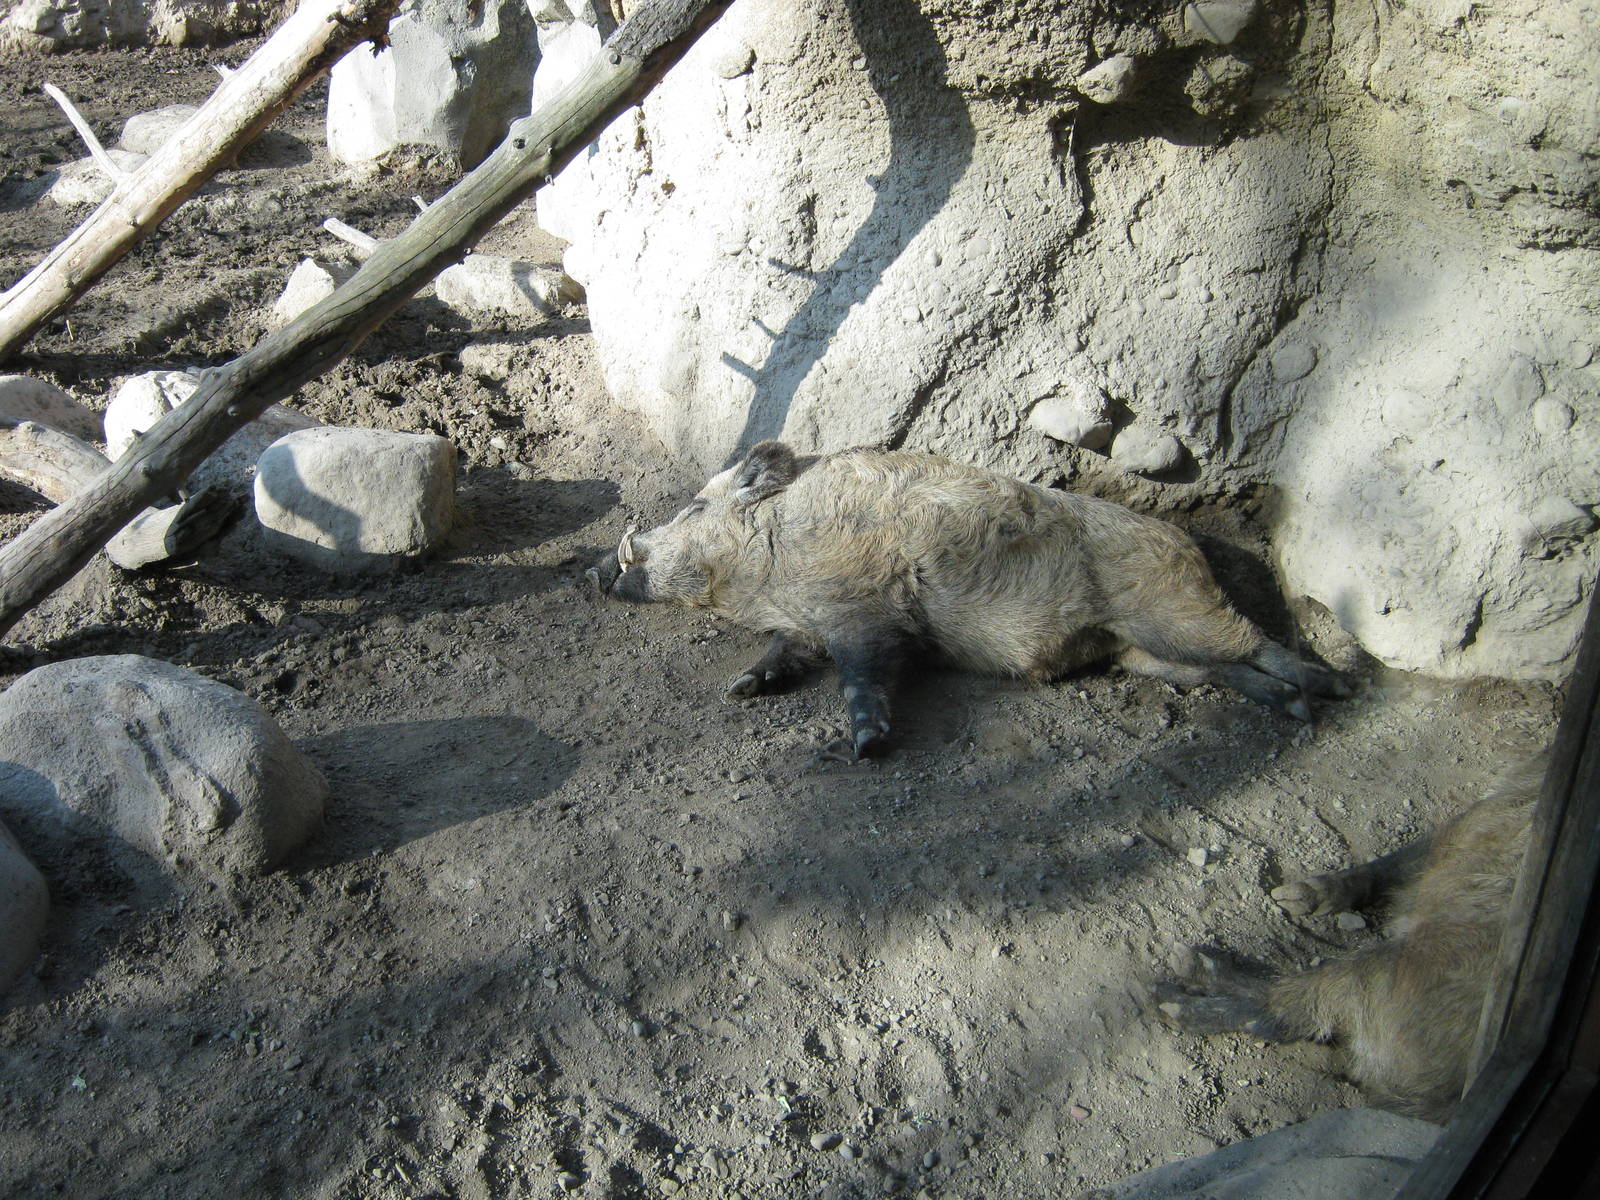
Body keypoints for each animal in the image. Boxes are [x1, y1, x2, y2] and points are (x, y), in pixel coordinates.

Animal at [588, 442, 1347, 756]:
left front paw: (867, 746)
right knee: (1223, 671)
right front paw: (740, 688)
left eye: (693, 509)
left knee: (1259, 643)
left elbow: (862, 673)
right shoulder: (804, 624)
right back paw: (1294, 706)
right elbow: (784, 653)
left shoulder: (866, 610)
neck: (775, 570)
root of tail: (1191, 547)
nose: (596, 570)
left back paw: (1327, 690)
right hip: (1146, 654)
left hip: (1178, 609)